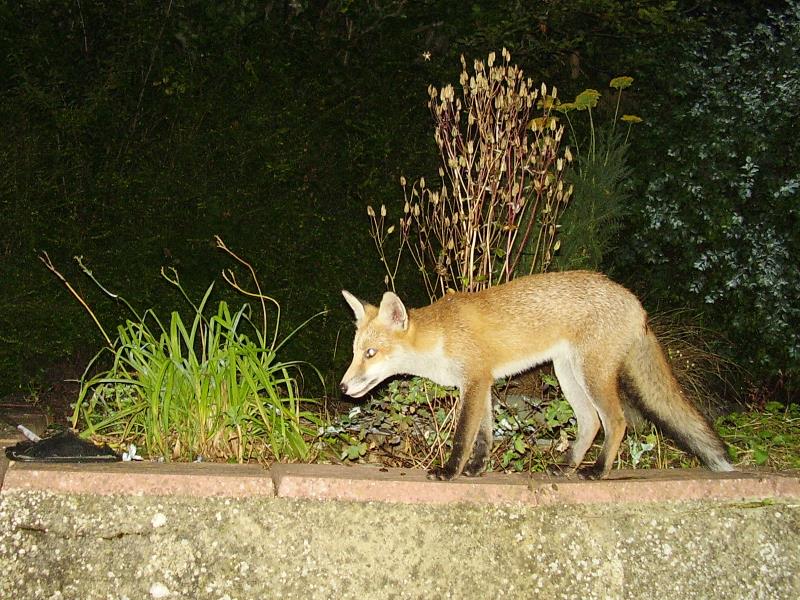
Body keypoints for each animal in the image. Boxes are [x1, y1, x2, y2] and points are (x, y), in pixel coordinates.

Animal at [340, 272, 736, 482]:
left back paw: (596, 471)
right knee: (591, 423)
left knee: (617, 422)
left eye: (371, 354)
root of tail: (636, 304)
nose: (343, 386)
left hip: (593, 375)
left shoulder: (474, 381)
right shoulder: (482, 383)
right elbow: (483, 436)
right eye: (356, 352)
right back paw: (567, 465)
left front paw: (450, 471)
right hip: (568, 374)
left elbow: (463, 436)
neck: (441, 337)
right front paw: (476, 469)